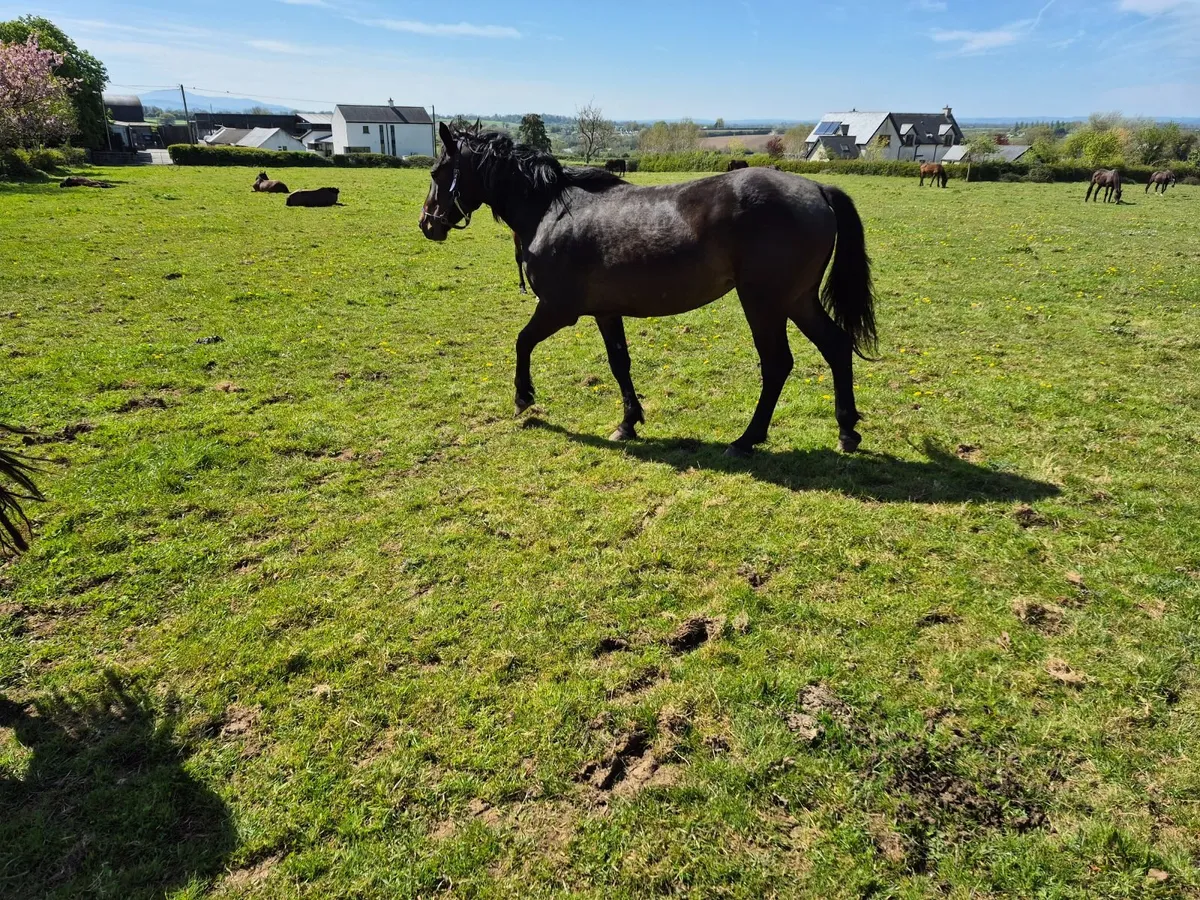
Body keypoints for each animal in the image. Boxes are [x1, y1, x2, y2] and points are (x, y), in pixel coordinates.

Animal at [419, 124, 878, 456]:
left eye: (437, 173)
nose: (427, 224)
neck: (551, 209)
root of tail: (817, 189)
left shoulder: (557, 309)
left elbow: (522, 341)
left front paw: (523, 397)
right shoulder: (606, 311)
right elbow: (619, 364)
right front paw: (628, 421)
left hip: (764, 303)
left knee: (778, 364)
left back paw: (747, 439)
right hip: (798, 300)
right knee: (836, 347)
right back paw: (846, 430)